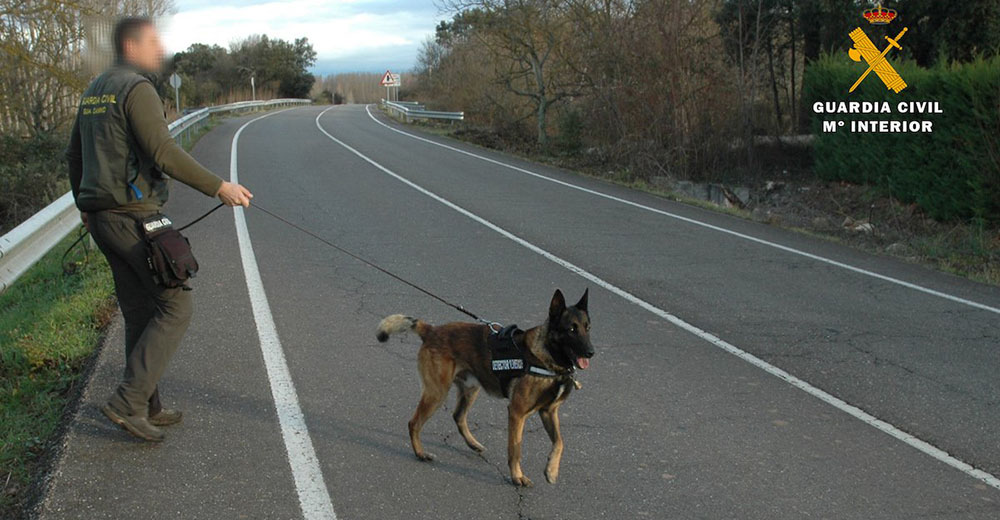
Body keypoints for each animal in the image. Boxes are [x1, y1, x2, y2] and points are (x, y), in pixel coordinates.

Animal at [376, 288, 592, 488]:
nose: (591, 352)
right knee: (414, 423)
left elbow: (560, 442)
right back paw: (420, 453)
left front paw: (551, 470)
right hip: (437, 393)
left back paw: (472, 444)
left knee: (458, 416)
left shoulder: (549, 411)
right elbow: (515, 449)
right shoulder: (517, 413)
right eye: (571, 329)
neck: (548, 357)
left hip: (470, 390)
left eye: (587, 327)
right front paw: (517, 476)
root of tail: (431, 330)